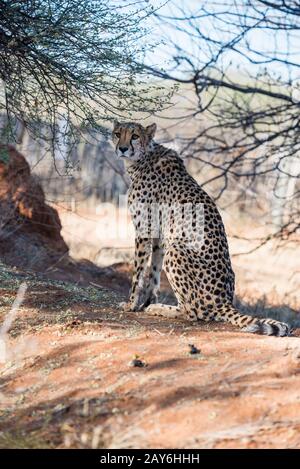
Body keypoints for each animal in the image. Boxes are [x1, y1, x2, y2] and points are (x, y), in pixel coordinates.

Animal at [112, 119, 290, 334]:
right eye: (117, 133)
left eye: (135, 136)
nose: (122, 148)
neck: (143, 158)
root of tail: (225, 301)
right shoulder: (159, 237)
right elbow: (153, 272)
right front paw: (146, 301)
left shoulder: (144, 230)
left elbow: (137, 272)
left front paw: (131, 304)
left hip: (176, 250)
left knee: (194, 312)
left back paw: (161, 309)